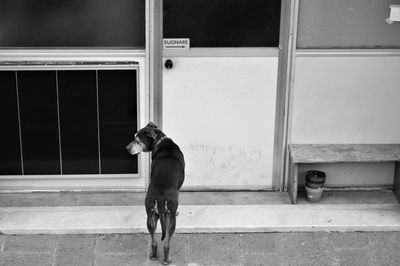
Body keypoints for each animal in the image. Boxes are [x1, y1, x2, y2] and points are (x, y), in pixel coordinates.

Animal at [126, 122, 185, 264]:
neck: (160, 140)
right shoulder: (178, 189)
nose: (126, 148)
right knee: (167, 242)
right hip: (171, 217)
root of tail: (161, 195)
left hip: (149, 213)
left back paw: (153, 256)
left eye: (137, 140)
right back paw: (167, 259)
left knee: (153, 240)